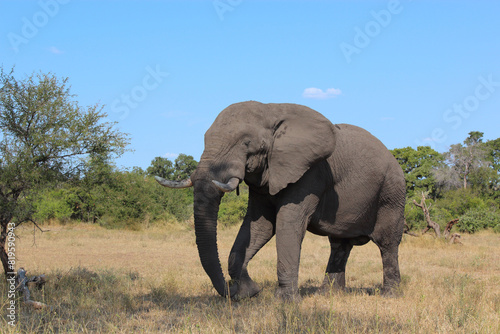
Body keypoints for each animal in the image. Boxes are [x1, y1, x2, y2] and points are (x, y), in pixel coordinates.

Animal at [156, 101, 406, 300]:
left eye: (246, 144)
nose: (230, 291)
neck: (271, 110)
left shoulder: (309, 172)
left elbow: (288, 223)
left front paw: (285, 300)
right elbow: (258, 226)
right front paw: (250, 292)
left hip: (392, 192)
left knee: (387, 243)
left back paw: (389, 296)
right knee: (339, 245)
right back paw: (328, 295)